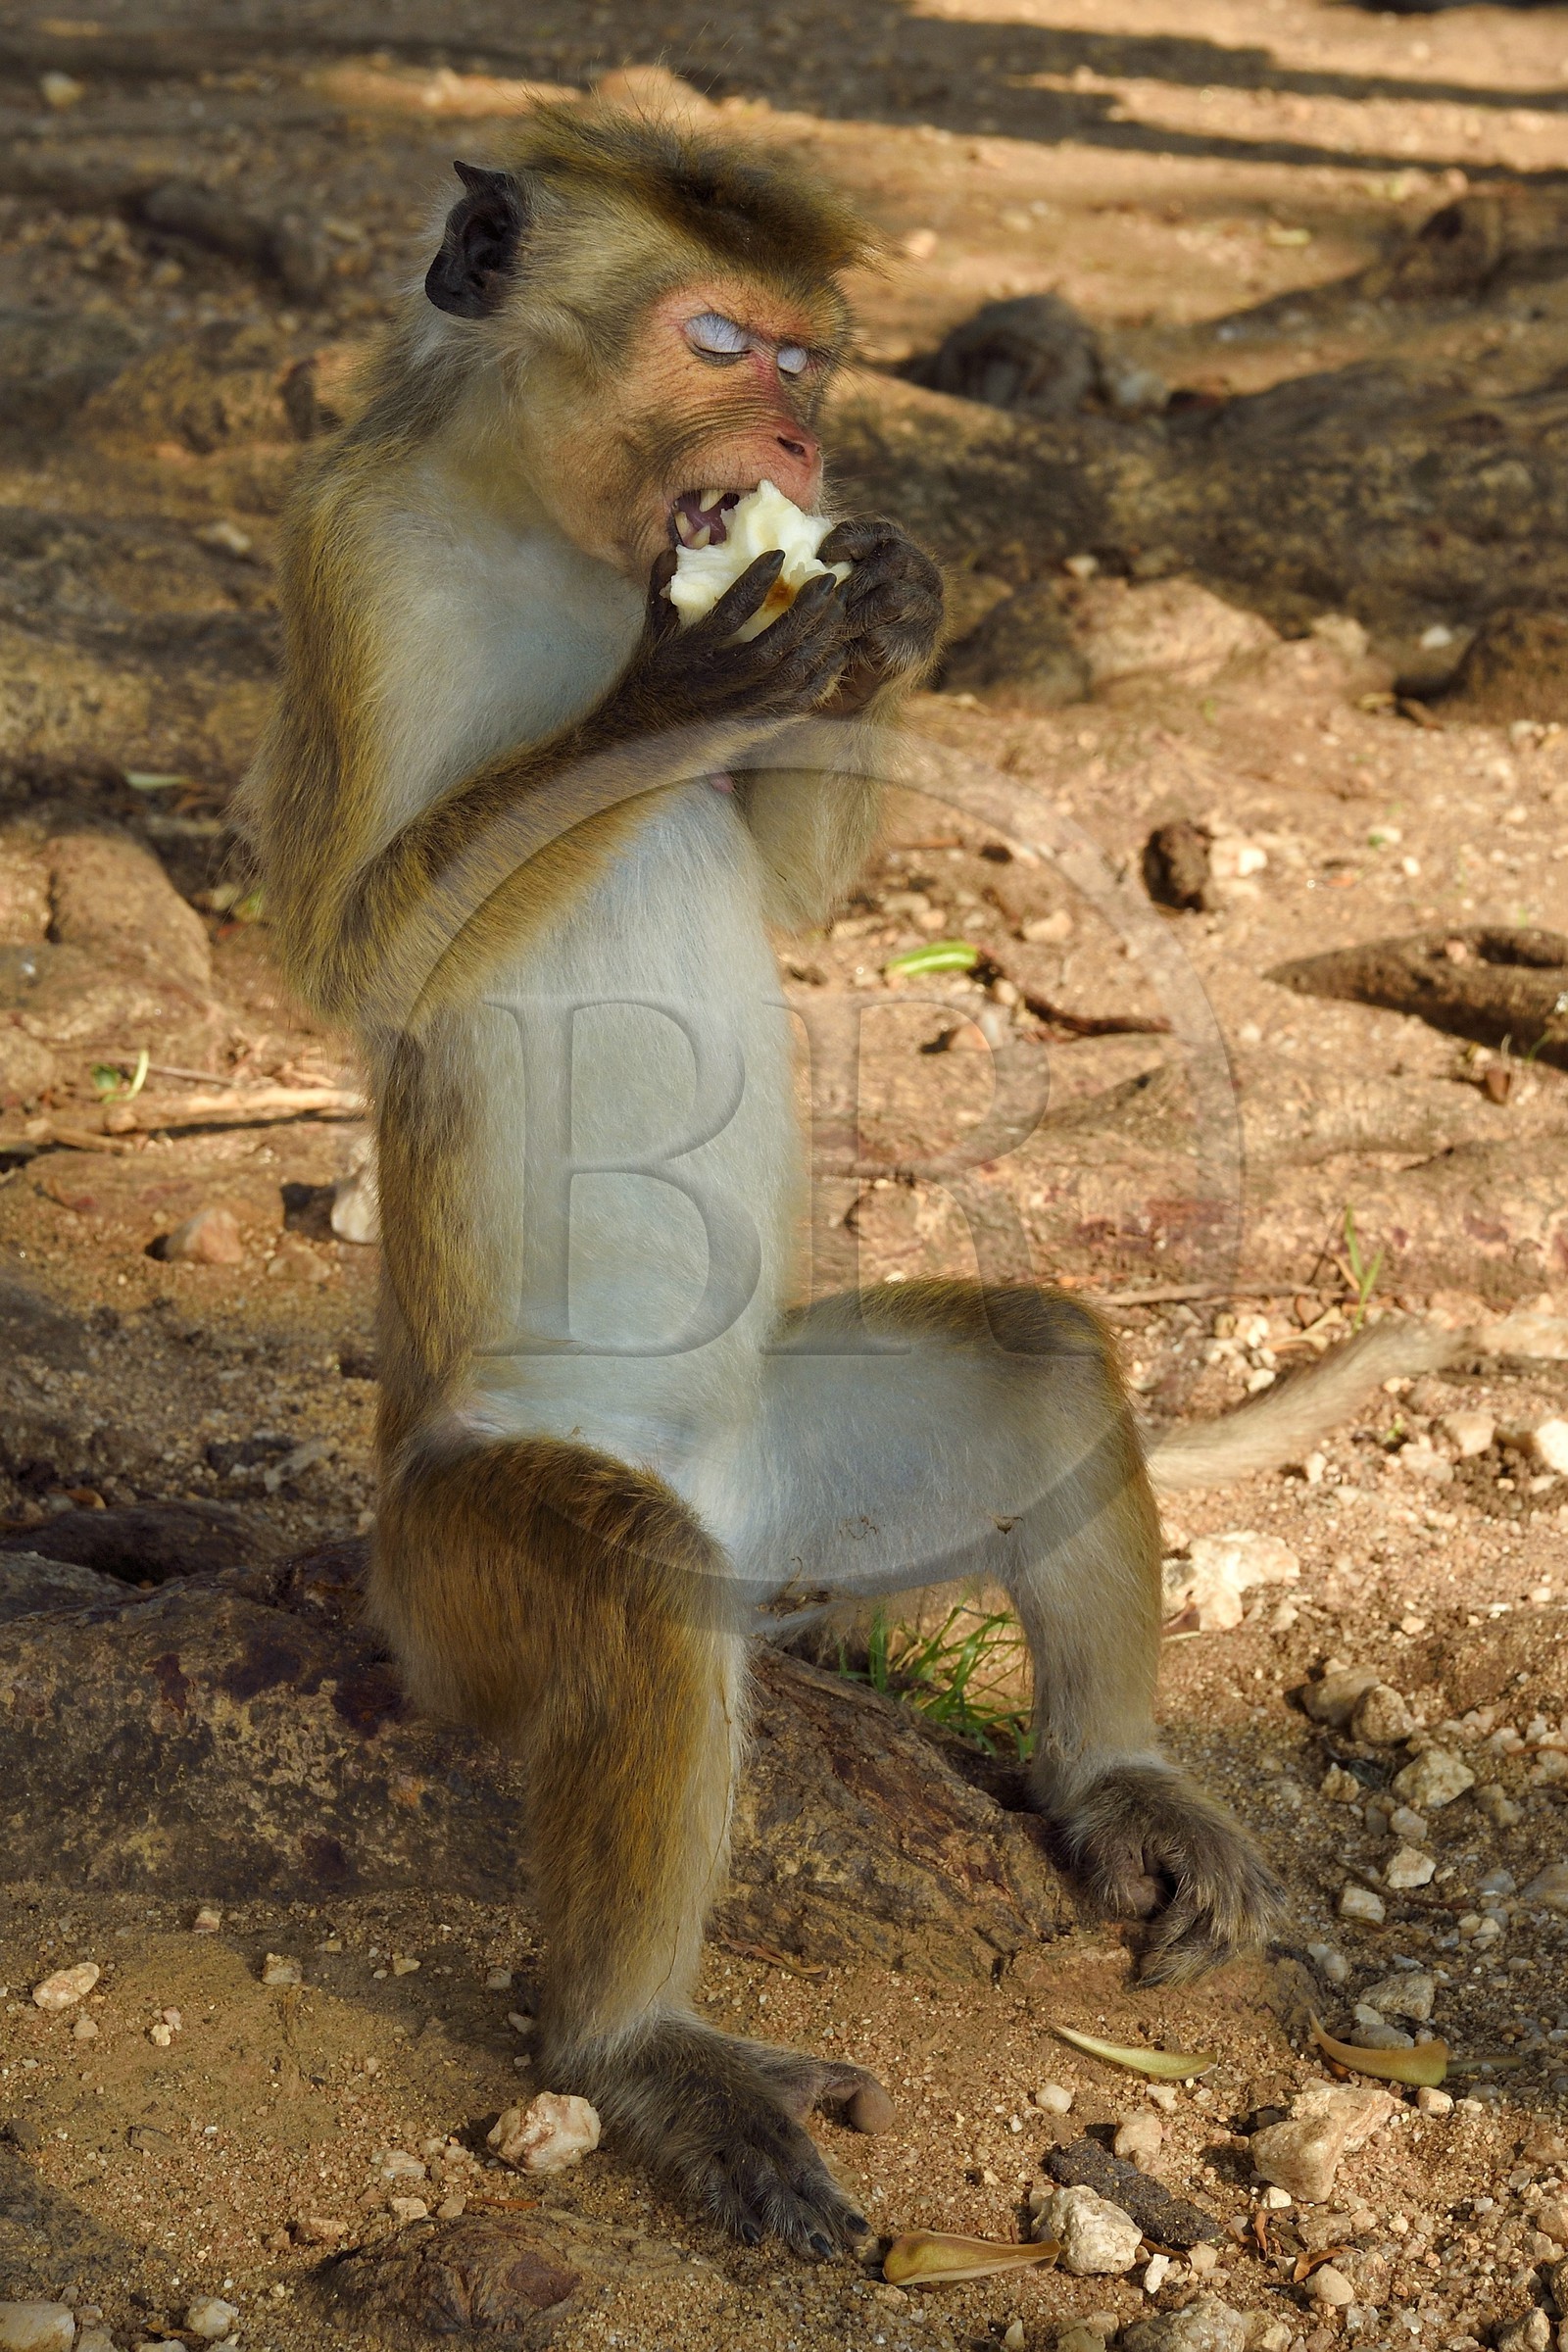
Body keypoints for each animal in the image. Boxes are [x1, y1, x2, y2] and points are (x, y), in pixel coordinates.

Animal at [240, 102, 1451, 2257]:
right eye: (726, 342)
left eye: (812, 355)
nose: (804, 445)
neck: (540, 524)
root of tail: (751, 1546)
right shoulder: (347, 557)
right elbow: (360, 955)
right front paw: (684, 683)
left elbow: (794, 891)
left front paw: (892, 606)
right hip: (453, 1587)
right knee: (636, 1601)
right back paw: (636, 2047)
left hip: (812, 1488)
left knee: (1037, 1367)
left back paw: (1118, 1779)